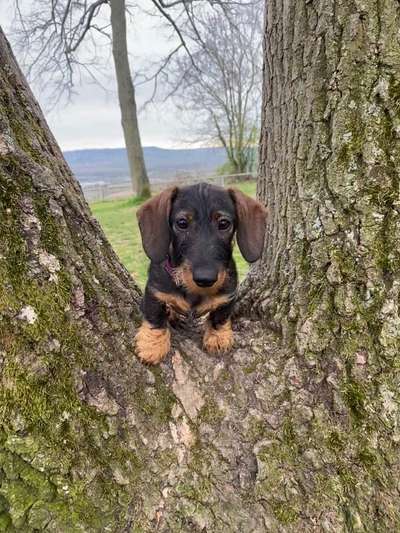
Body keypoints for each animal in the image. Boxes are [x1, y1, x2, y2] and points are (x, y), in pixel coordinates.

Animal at [134, 181, 266, 364]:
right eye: (182, 223)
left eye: (224, 224)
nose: (205, 278)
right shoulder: (154, 292)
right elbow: (155, 316)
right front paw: (152, 346)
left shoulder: (228, 296)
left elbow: (220, 316)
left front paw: (217, 338)